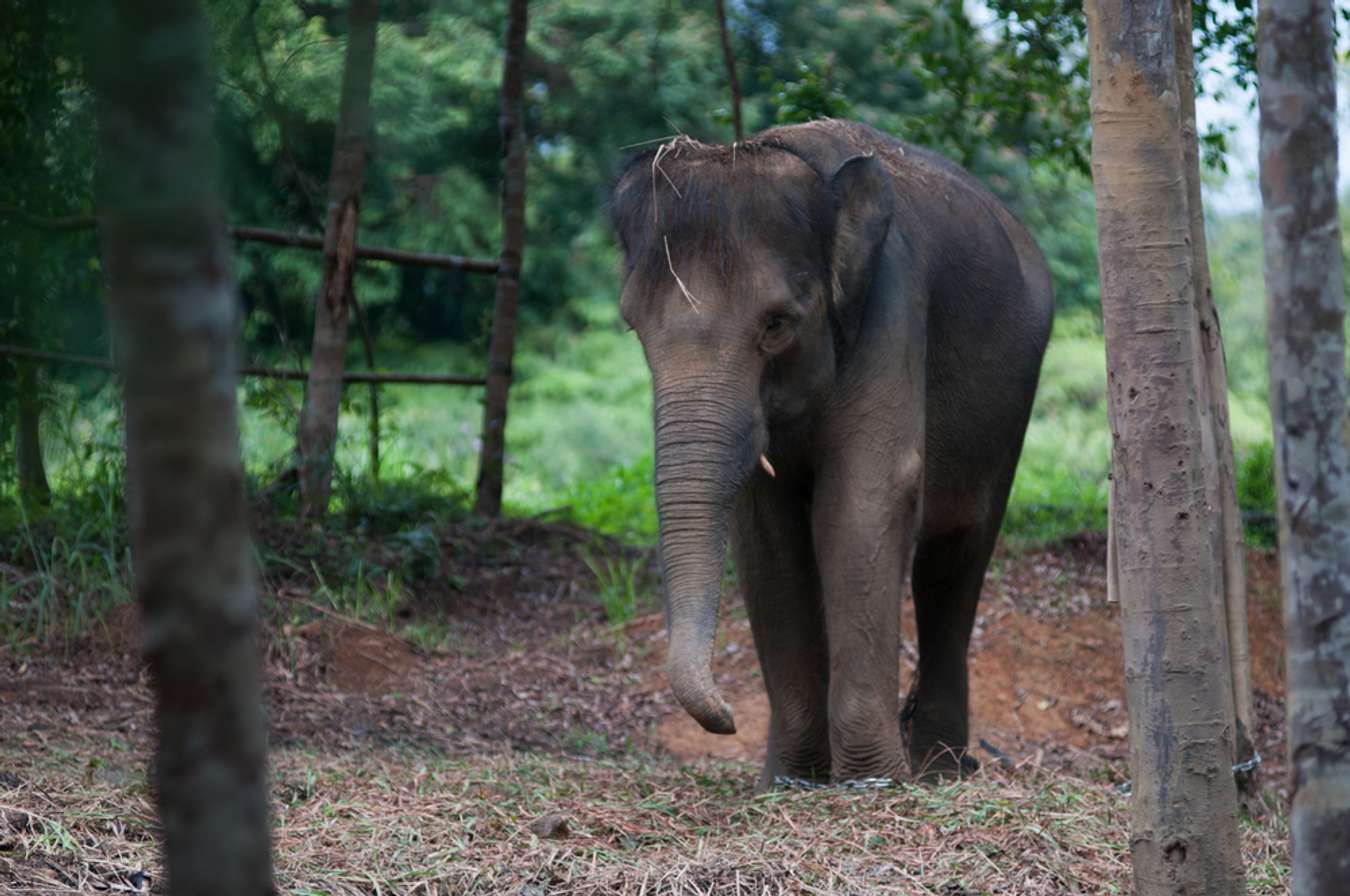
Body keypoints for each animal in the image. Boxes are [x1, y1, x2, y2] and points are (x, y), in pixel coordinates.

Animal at [612, 118, 1053, 782]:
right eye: (632, 325)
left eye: (776, 324)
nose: (727, 718)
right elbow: (766, 533)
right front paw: (791, 779)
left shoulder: (892, 303)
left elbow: (862, 503)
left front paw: (873, 780)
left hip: (1009, 409)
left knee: (957, 558)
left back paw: (939, 769)